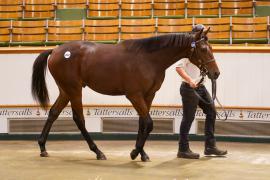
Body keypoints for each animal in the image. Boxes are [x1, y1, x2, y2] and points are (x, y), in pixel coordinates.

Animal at [31, 27, 219, 162]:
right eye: (203, 49)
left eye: (210, 47)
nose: (215, 73)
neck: (148, 59)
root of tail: (55, 51)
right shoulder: (134, 95)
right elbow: (149, 123)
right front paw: (135, 152)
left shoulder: (148, 95)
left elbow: (142, 123)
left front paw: (142, 153)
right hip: (74, 90)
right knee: (79, 119)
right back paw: (98, 152)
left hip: (65, 90)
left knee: (53, 113)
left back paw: (42, 147)